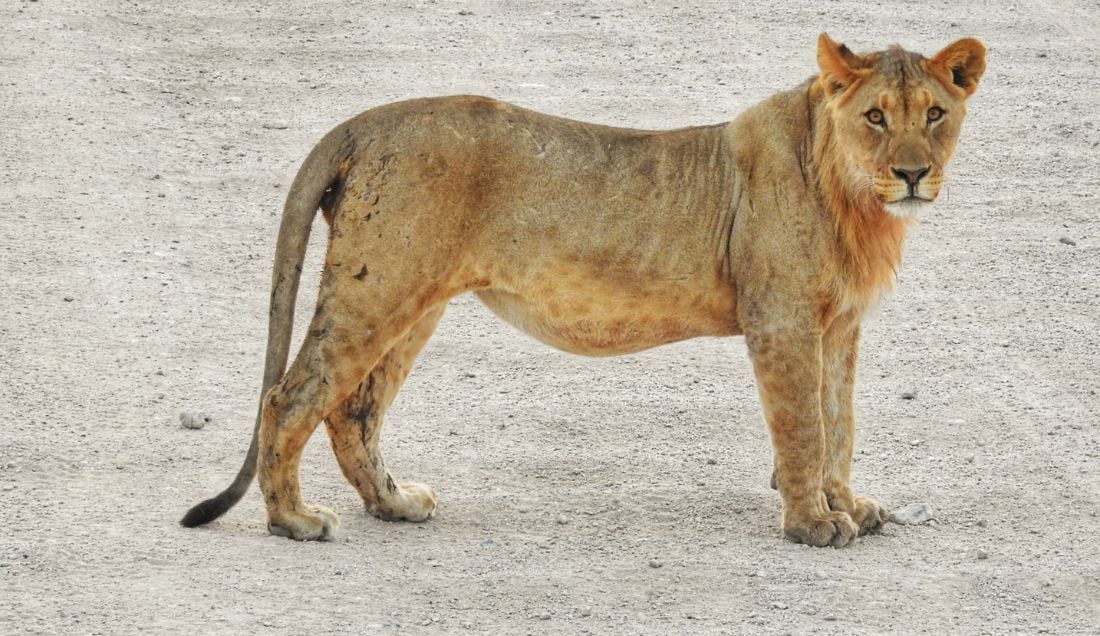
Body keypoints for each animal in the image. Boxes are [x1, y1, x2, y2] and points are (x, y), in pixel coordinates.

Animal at [181, 34, 985, 547]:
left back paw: (395, 503)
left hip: (414, 301)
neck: (854, 199)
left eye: (934, 114)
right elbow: (804, 428)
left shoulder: (838, 325)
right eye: (875, 116)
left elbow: (839, 423)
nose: (913, 174)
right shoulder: (782, 321)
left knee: (353, 410)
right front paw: (813, 525)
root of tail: (366, 120)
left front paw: (851, 506)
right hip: (377, 289)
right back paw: (294, 521)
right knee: (290, 398)